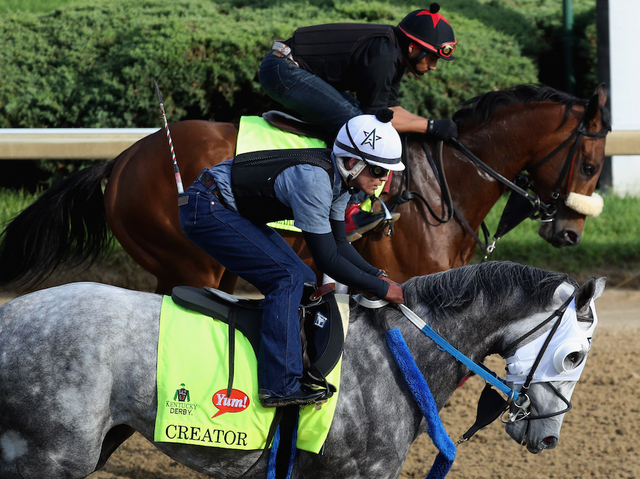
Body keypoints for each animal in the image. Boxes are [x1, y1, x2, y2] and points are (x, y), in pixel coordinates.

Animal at [0, 262, 604, 478]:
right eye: (574, 355)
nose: (549, 437)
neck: (398, 350)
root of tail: (10, 314)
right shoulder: (361, 474)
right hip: (53, 456)